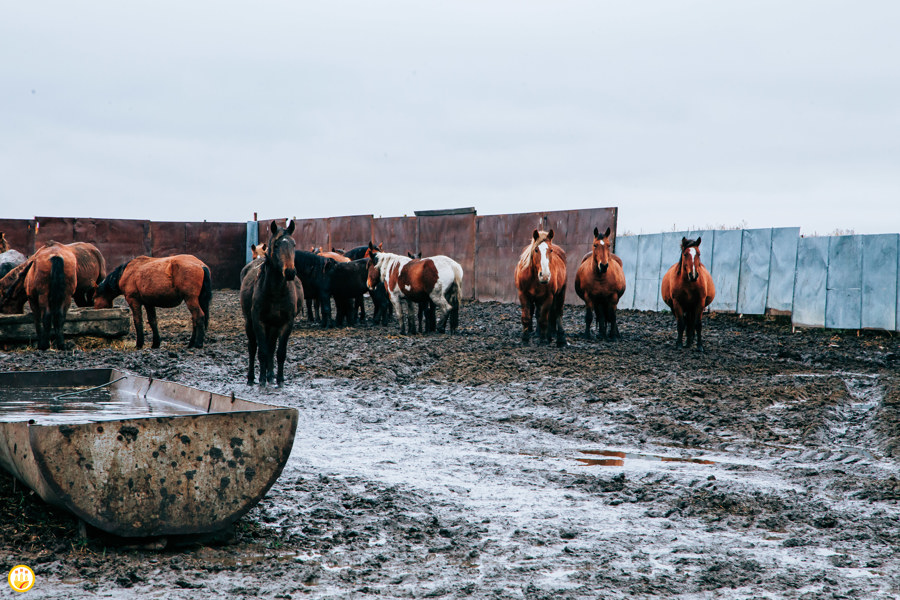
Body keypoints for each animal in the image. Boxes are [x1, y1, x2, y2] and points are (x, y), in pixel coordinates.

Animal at [241, 219, 298, 384]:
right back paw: (252, 377)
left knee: (271, 347)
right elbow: (262, 351)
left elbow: (280, 352)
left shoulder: (286, 323)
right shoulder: (258, 321)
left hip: (273, 326)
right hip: (249, 323)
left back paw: (270, 375)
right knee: (253, 348)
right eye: (277, 245)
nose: (290, 272)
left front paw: (279, 379)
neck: (276, 292)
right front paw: (261, 380)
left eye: (293, 244)